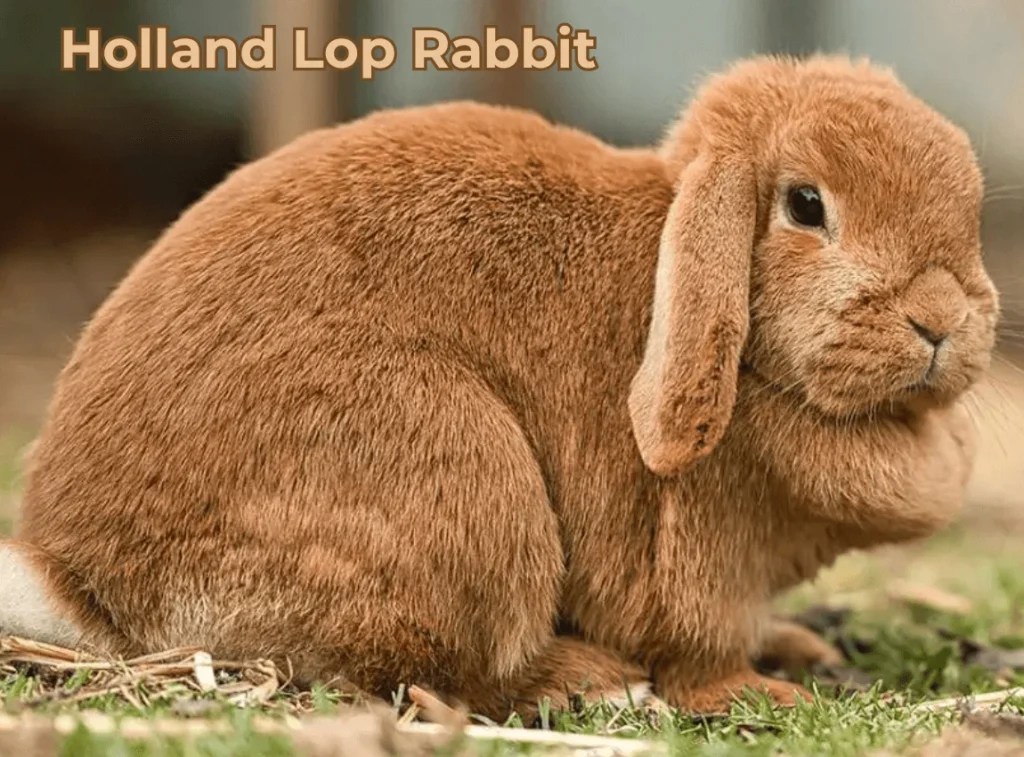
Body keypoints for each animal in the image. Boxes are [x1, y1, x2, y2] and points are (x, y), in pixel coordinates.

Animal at [0, 56, 995, 721]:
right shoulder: (698, 557)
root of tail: (80, 579)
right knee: (445, 673)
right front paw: (762, 692)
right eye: (805, 206)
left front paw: (797, 646)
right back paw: (591, 679)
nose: (941, 319)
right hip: (464, 479)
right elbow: (698, 647)